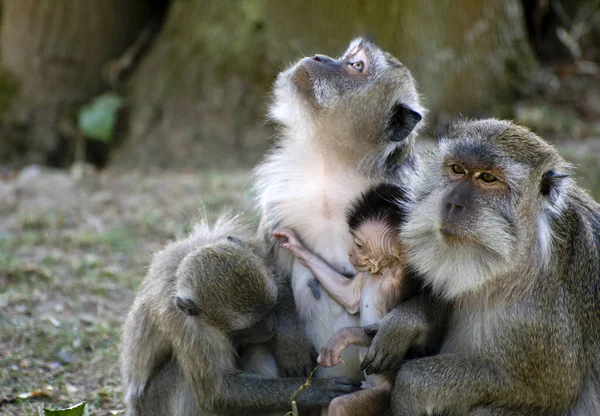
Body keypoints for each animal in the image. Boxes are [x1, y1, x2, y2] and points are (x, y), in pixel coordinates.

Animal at [119, 214, 358, 416]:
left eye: (270, 307)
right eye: (247, 327)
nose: (271, 326)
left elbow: (273, 269)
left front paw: (290, 343)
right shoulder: (193, 330)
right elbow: (219, 393)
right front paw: (316, 390)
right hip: (154, 405)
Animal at [253, 37, 426, 386]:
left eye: (356, 65)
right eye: (347, 56)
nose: (319, 56)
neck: (332, 162)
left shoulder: (410, 192)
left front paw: (399, 328)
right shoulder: (280, 190)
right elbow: (269, 254)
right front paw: (289, 338)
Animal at [358, 118, 600, 414]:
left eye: (487, 178)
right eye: (457, 170)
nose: (452, 203)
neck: (516, 266)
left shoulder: (545, 320)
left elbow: (550, 389)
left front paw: (410, 387)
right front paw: (407, 321)